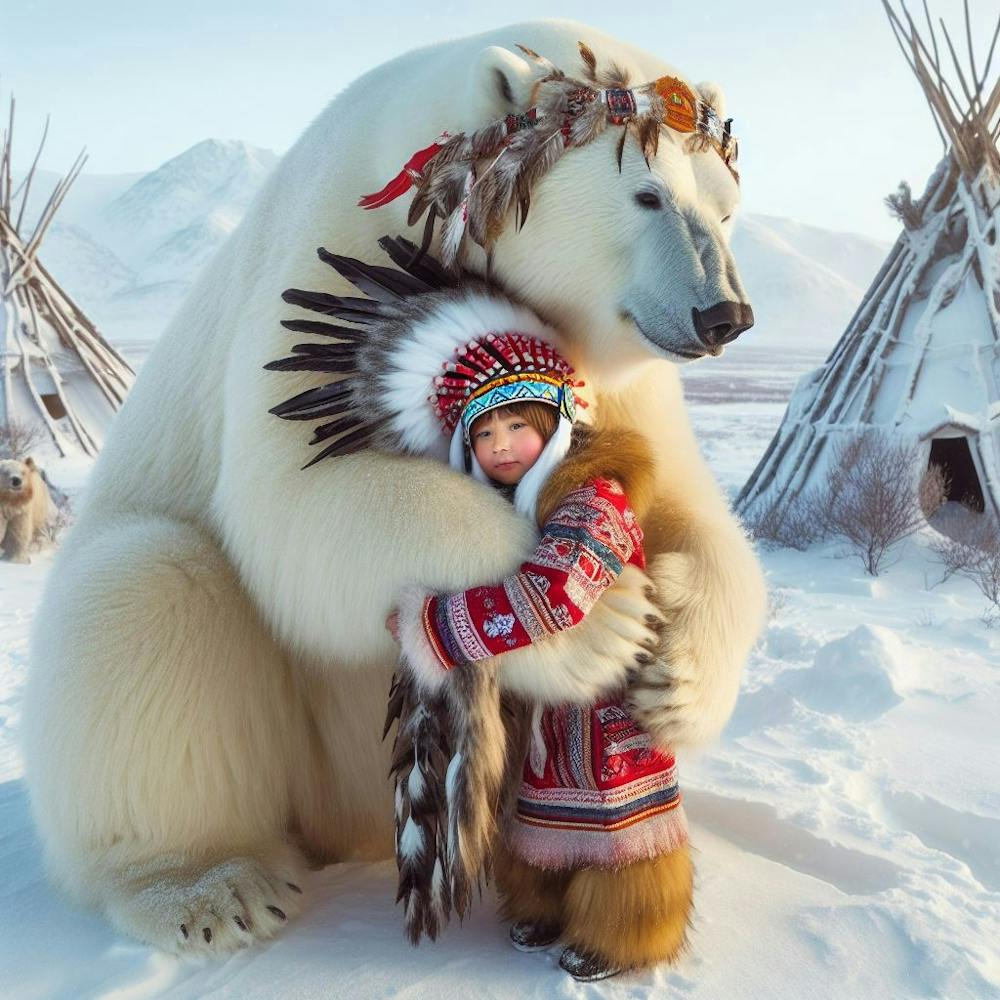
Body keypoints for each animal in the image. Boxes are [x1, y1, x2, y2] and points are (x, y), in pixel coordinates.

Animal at [21, 20, 767, 958]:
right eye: (647, 195)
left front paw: (679, 677)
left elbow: (685, 509)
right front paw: (596, 624)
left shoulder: (624, 375)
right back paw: (213, 885)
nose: (725, 314)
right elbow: (293, 503)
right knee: (145, 587)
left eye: (727, 207)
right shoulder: (323, 264)